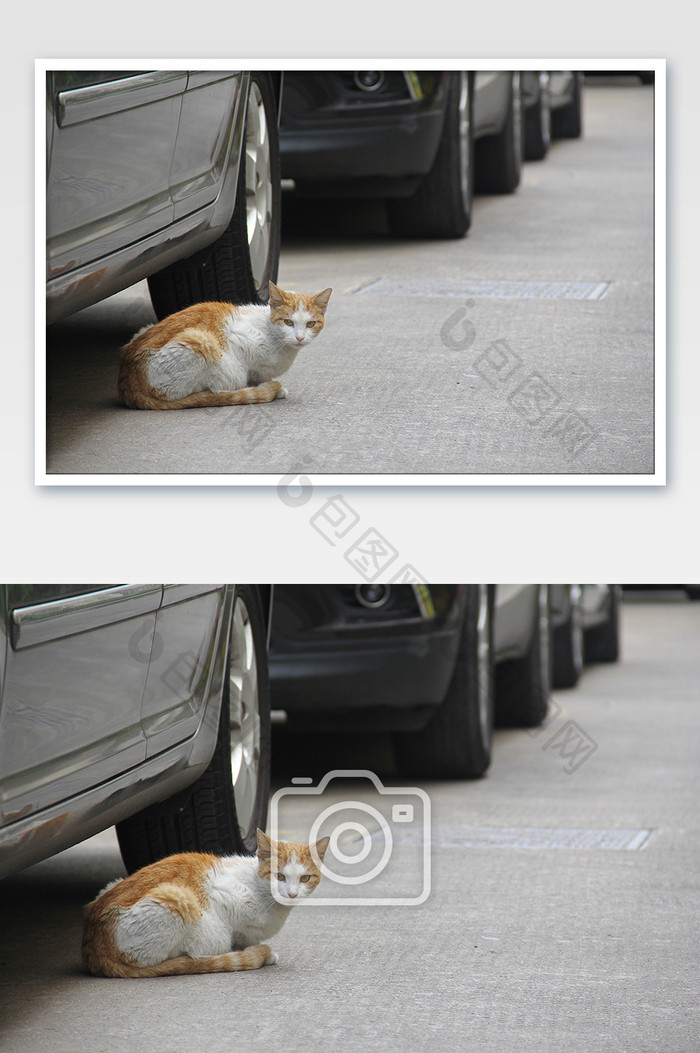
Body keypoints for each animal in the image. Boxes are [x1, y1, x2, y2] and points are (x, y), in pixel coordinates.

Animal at [83, 829, 328, 977]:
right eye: (279, 876)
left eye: (305, 878)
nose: (292, 894)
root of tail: (94, 949)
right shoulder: (224, 897)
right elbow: (242, 935)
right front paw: (258, 953)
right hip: (178, 899)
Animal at [117, 282, 330, 408]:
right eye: (288, 322)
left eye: (310, 324)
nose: (300, 338)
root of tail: (129, 383)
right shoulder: (241, 339)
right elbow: (257, 374)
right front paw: (270, 388)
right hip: (202, 343)